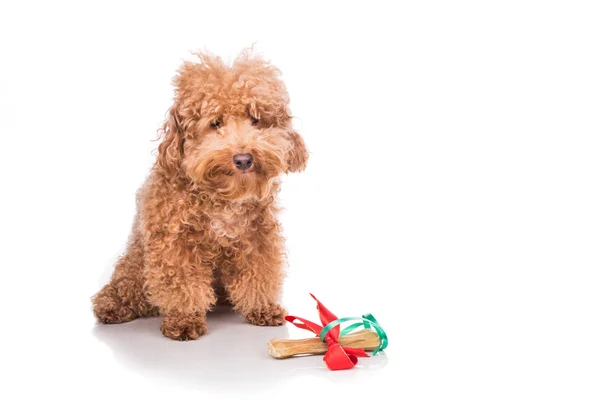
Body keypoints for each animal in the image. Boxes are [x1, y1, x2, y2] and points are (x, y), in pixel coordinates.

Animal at [95, 50, 310, 340]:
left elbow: (259, 273)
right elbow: (183, 285)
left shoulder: (257, 237)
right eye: (215, 123)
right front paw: (185, 320)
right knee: (125, 287)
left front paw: (261, 308)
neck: (221, 196)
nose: (244, 159)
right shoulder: (174, 243)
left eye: (256, 120)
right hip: (134, 267)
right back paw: (112, 305)